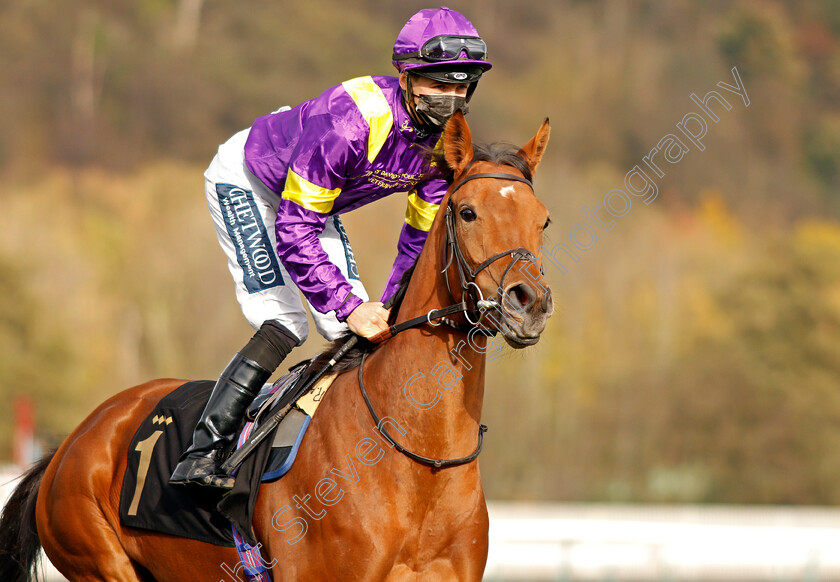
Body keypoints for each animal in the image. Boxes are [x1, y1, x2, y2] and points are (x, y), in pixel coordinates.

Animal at [0, 112, 556, 580]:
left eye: (543, 219)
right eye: (467, 212)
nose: (529, 301)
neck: (420, 459)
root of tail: (72, 441)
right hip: (99, 560)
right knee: (279, 319)